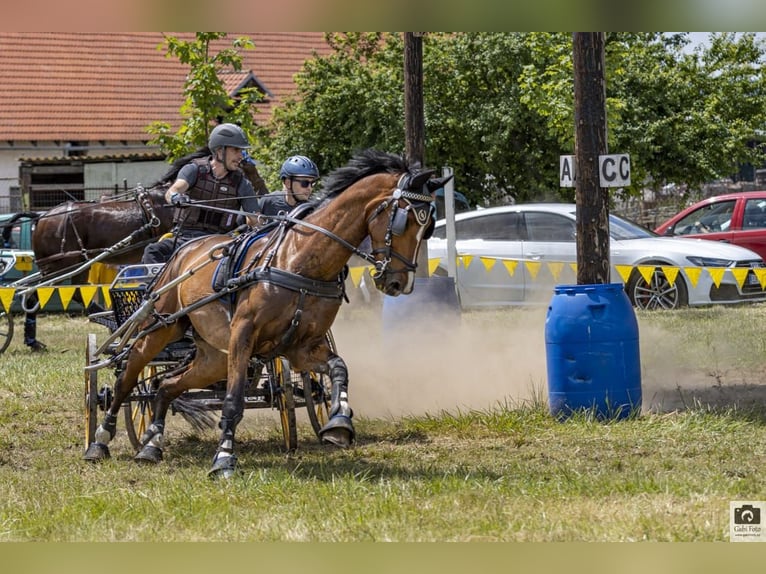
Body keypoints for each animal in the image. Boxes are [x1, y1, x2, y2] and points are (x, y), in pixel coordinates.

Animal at [82, 151, 450, 480]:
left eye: (429, 226)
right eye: (403, 220)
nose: (400, 283)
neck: (300, 260)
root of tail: (185, 249)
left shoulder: (300, 346)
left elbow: (338, 369)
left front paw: (339, 422)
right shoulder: (243, 335)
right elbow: (232, 402)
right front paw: (224, 458)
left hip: (213, 356)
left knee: (165, 385)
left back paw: (151, 443)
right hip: (163, 328)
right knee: (127, 377)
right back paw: (100, 440)